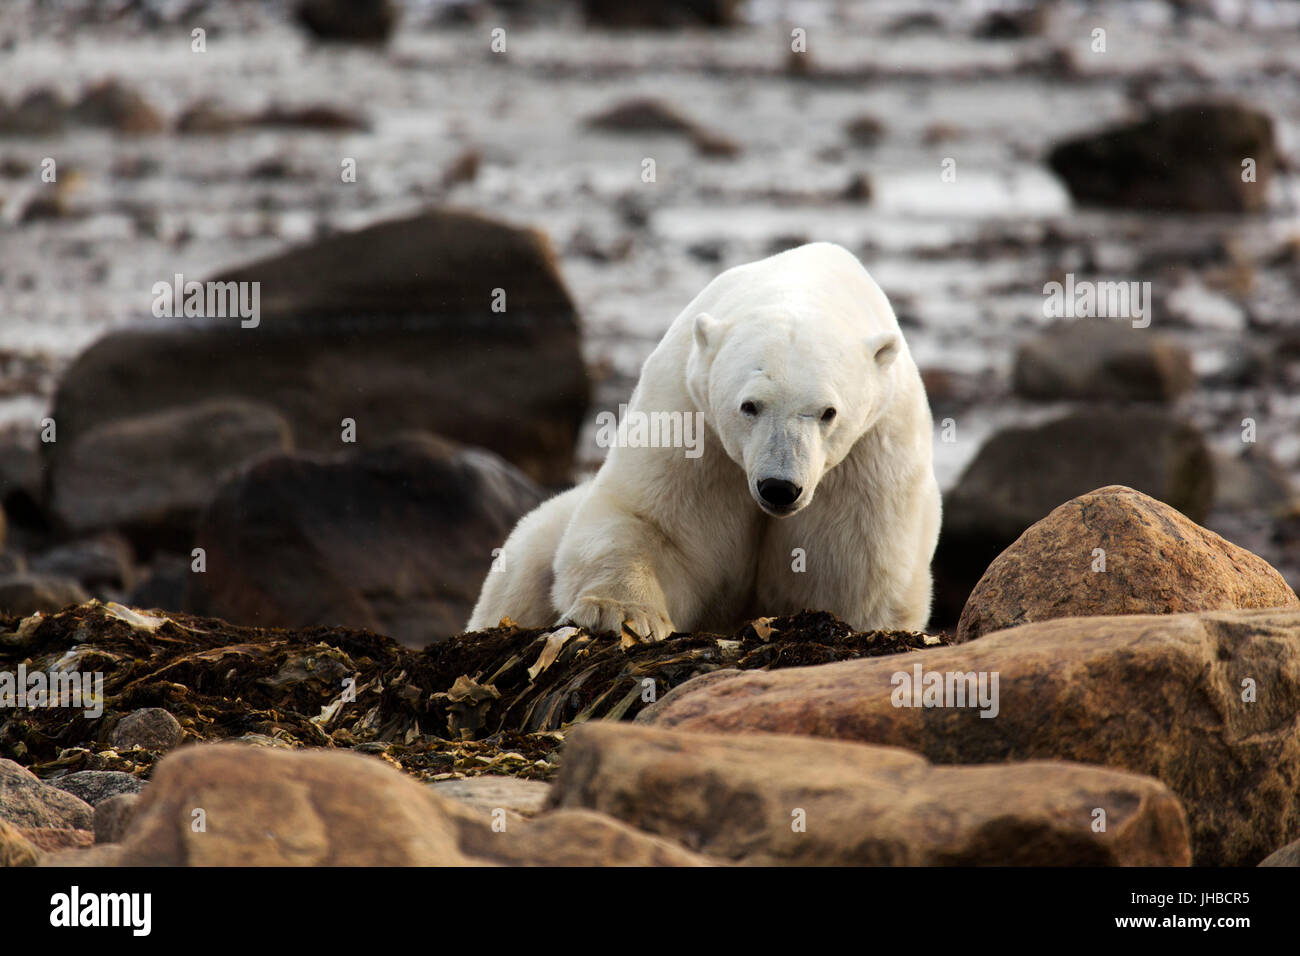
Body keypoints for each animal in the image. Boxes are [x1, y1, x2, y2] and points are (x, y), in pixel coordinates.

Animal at [473, 243, 941, 639]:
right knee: (524, 565)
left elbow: (851, 566)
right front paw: (619, 613)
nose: (779, 487)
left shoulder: (871, 454)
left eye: (829, 412)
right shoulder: (688, 418)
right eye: (749, 406)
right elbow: (653, 523)